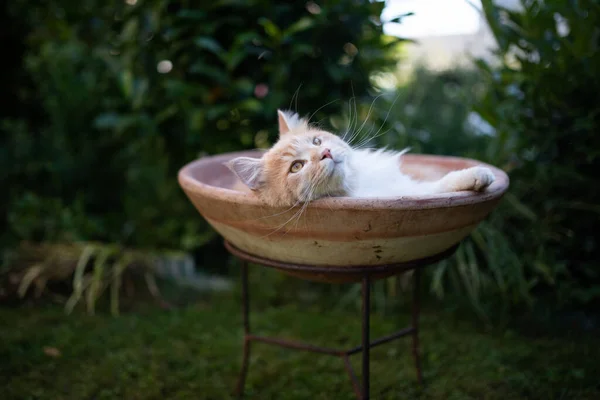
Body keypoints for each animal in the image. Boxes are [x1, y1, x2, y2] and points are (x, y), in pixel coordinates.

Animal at [225, 110, 492, 209]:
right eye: (296, 167)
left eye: (316, 142)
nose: (326, 153)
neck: (357, 184)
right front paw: (476, 176)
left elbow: (439, 185)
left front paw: (476, 175)